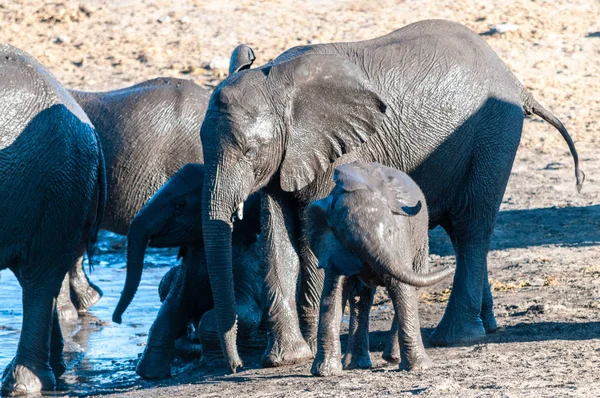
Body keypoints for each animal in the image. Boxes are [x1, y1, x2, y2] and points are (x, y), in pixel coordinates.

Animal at [109, 164, 264, 380]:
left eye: (180, 206)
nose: (117, 319)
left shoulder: (250, 264)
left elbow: (246, 316)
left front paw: (216, 364)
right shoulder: (188, 269)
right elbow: (171, 309)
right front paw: (151, 374)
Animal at [308, 162, 452, 376]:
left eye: (391, 231)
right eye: (351, 244)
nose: (451, 267)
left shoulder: (401, 238)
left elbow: (402, 288)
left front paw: (420, 368)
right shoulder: (335, 247)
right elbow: (332, 294)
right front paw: (325, 372)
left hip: (420, 241)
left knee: (411, 283)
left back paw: (391, 358)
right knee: (361, 298)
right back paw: (358, 364)